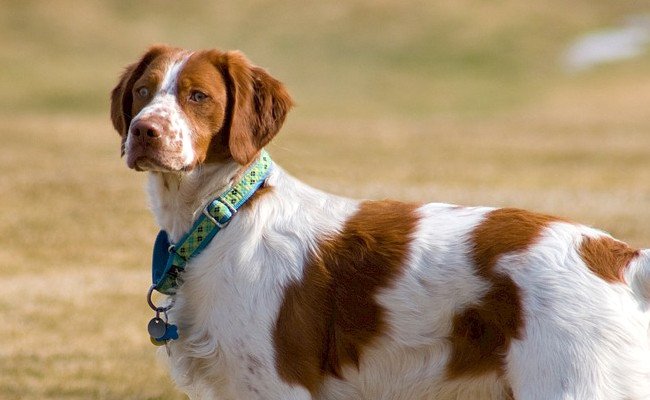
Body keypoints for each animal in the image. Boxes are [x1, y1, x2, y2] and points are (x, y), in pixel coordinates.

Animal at [111, 45, 648, 398]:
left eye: (198, 96)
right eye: (142, 91)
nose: (144, 132)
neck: (221, 216)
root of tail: (619, 257)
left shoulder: (278, 386)